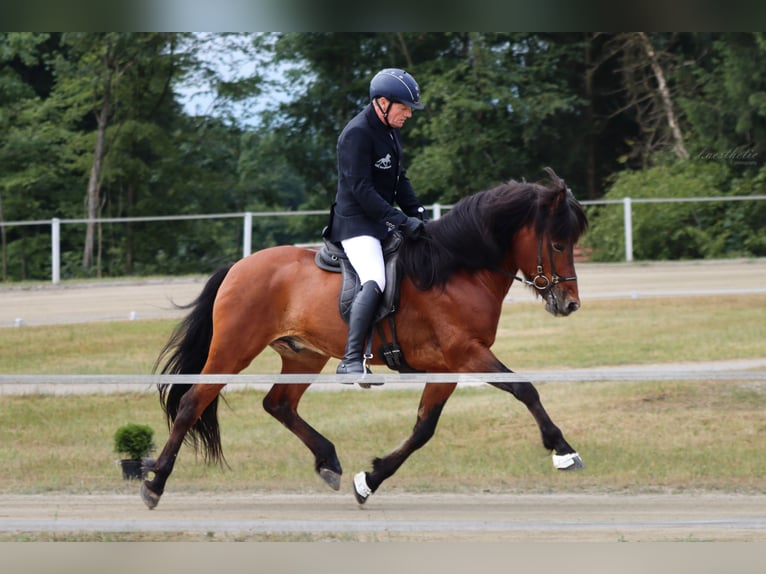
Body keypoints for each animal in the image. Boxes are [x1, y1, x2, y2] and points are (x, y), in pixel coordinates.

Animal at [142, 169, 588, 510]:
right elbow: (524, 388)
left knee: (279, 404)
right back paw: (155, 483)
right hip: (233, 349)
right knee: (192, 402)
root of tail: (239, 266)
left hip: (304, 355)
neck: (457, 269)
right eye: (558, 243)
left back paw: (328, 460)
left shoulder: (448, 366)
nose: (570, 304)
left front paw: (369, 480)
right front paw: (563, 450)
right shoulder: (467, 353)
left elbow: (424, 428)